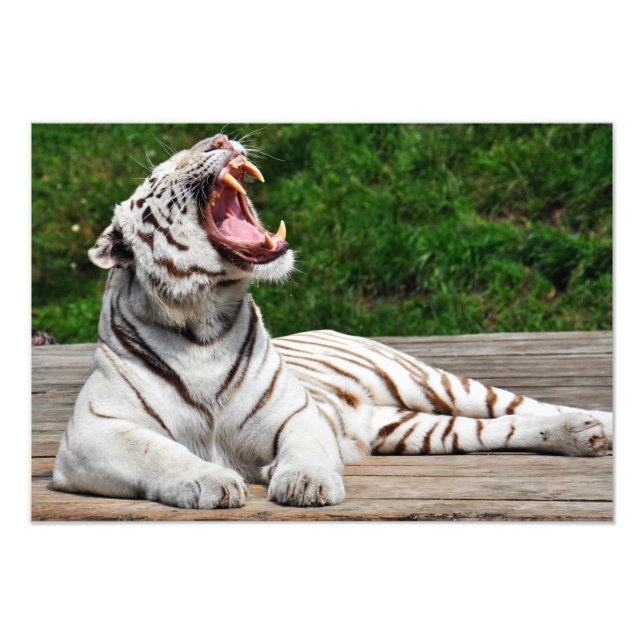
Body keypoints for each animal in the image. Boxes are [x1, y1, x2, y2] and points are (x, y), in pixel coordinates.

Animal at [52, 132, 613, 509]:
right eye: (161, 173)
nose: (221, 137)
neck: (204, 319)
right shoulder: (92, 431)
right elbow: (157, 451)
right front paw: (208, 481)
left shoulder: (297, 413)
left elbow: (303, 448)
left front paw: (307, 483)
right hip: (412, 428)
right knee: (500, 426)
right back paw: (583, 436)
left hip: (428, 380)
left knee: (518, 403)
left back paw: (596, 423)